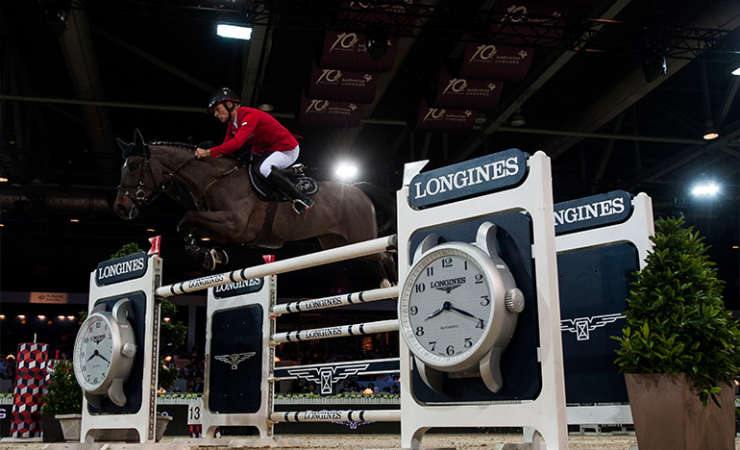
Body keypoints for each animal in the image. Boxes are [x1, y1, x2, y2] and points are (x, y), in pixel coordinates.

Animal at [112, 130, 396, 284]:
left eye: (134, 166)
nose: (120, 208)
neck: (215, 179)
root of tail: (359, 190)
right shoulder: (218, 224)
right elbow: (188, 225)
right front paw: (210, 255)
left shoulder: (234, 226)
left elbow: (187, 218)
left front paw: (208, 254)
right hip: (338, 244)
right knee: (376, 258)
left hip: (360, 238)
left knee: (385, 255)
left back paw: (391, 288)